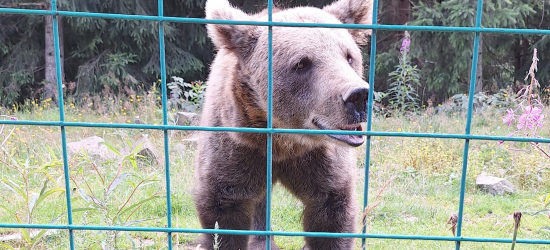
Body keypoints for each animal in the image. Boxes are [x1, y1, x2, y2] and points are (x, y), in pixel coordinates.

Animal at [194, 0, 376, 249]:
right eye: (301, 63)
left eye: (349, 56)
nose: (358, 96)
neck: (285, 141)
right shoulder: (237, 148)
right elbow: (224, 214)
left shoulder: (321, 162)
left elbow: (331, 216)